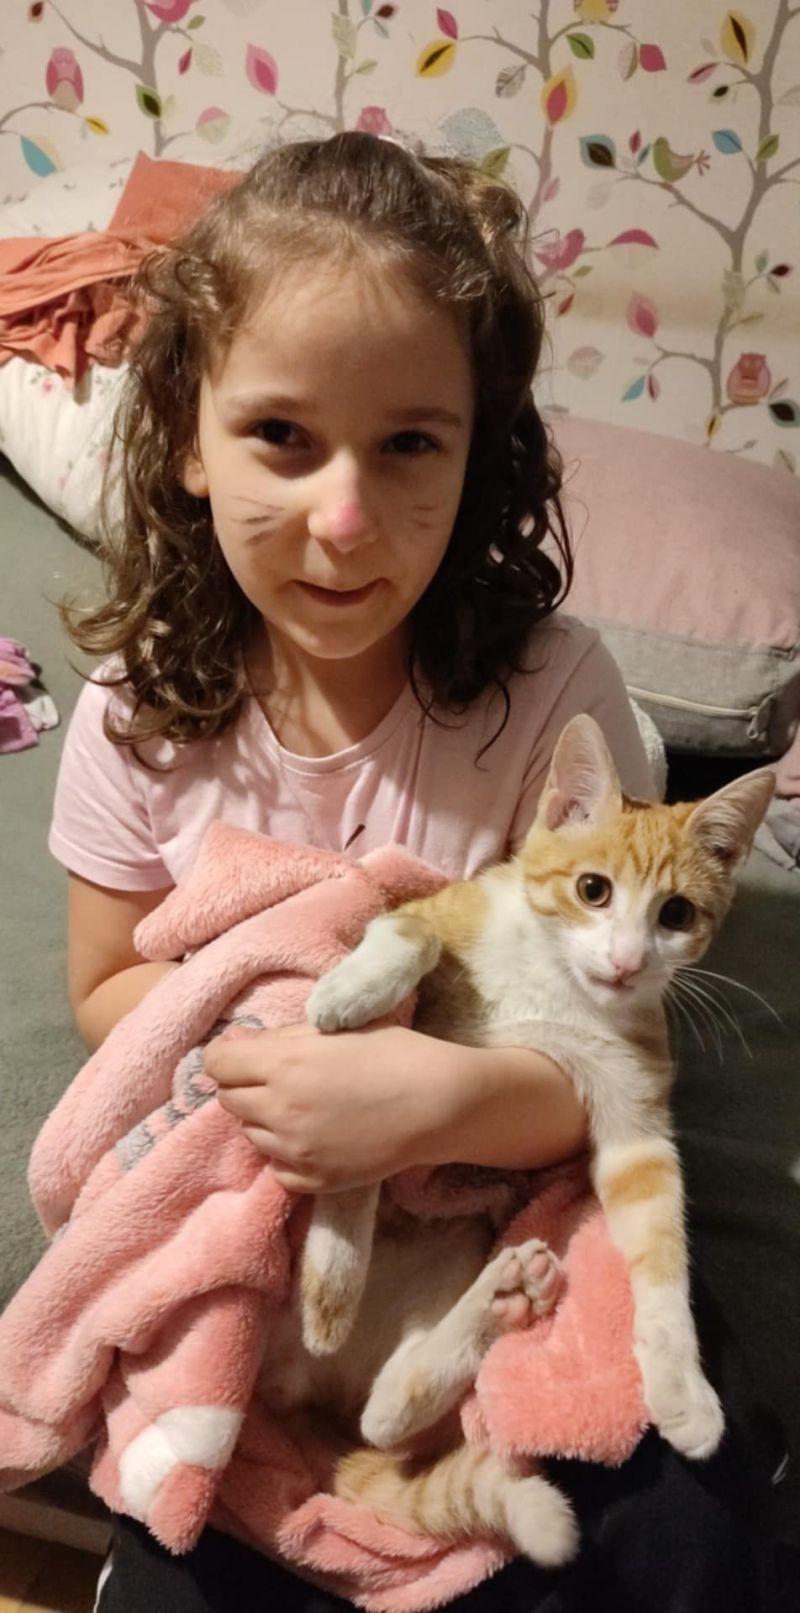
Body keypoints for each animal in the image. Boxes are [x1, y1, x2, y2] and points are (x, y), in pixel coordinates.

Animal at [257, 713, 773, 1567]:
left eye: (676, 914)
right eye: (593, 889)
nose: (627, 963)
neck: (553, 984)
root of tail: (291, 1393)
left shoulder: (635, 1124)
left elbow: (661, 1246)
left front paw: (680, 1382)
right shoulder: (430, 915)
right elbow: (402, 932)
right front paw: (351, 988)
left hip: (450, 1262)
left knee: (384, 1413)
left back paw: (494, 1303)